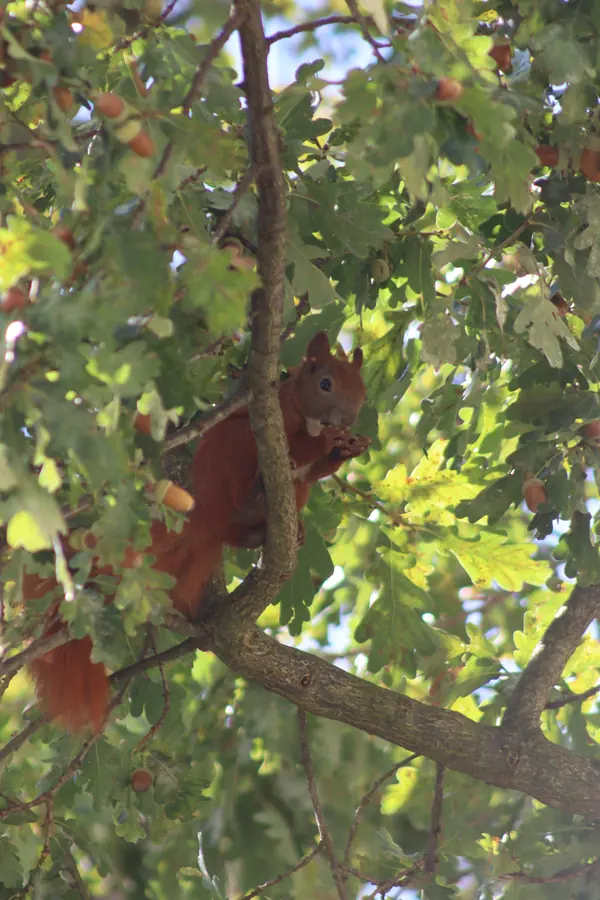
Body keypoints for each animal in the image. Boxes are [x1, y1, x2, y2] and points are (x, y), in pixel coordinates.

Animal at [22, 331, 369, 732]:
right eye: (325, 383)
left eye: (362, 392)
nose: (347, 420)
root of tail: (206, 515)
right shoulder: (275, 418)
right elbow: (298, 446)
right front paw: (330, 443)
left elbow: (314, 471)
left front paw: (346, 449)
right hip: (234, 447)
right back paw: (255, 494)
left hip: (293, 495)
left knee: (251, 525)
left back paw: (281, 530)